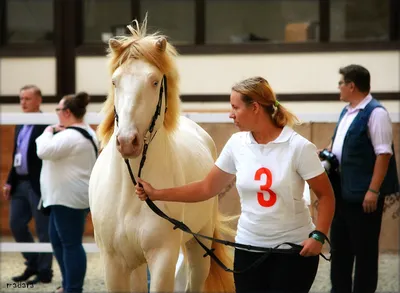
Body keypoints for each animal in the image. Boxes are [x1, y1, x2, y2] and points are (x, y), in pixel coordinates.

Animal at [88, 18, 234, 292]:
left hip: (198, 249)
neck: (129, 191)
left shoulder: (163, 258)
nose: (127, 141)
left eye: (155, 81)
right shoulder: (114, 263)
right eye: (115, 82)